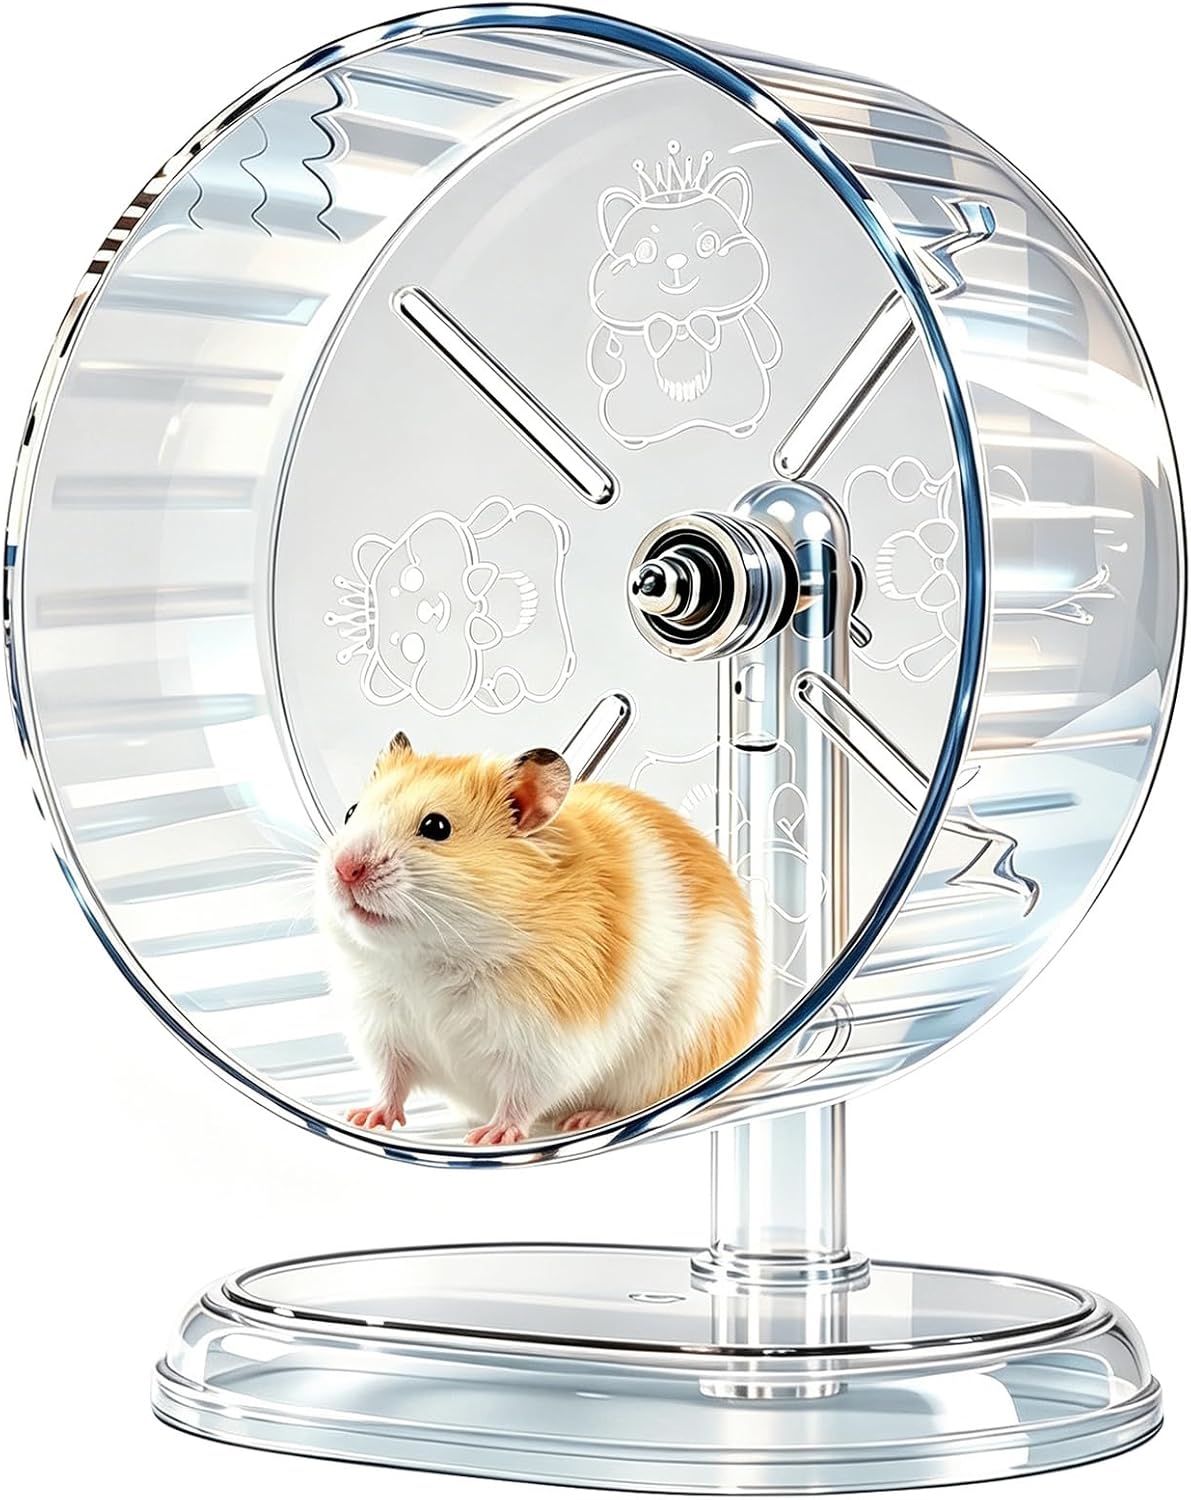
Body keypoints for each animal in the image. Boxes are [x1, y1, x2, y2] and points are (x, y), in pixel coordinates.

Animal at [317, 732, 761, 1145]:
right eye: (351, 812)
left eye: (436, 827)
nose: (345, 869)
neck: (430, 956)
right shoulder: (382, 1030)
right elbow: (390, 1081)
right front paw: (361, 1119)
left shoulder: (546, 1042)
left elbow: (522, 1095)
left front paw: (490, 1137)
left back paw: (586, 1119)